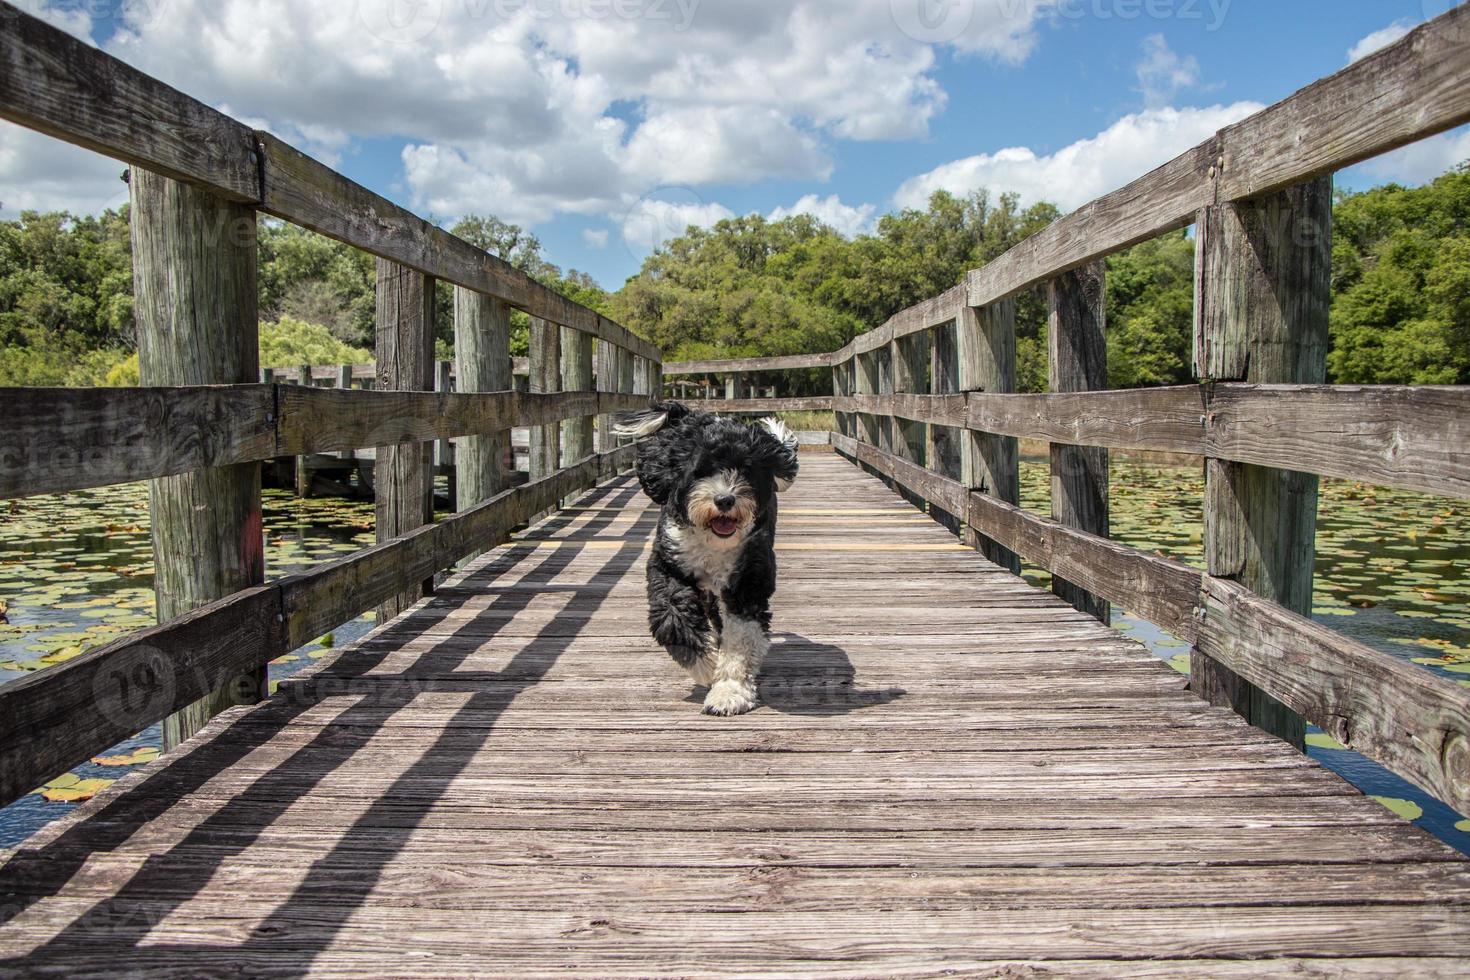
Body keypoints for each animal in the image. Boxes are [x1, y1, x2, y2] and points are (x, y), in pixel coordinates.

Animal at [611, 402, 799, 717]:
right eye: (701, 471)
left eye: (746, 469)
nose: (725, 500)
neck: (713, 544)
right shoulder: (667, 565)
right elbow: (673, 615)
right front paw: (706, 665)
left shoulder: (748, 581)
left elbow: (740, 640)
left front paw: (729, 692)